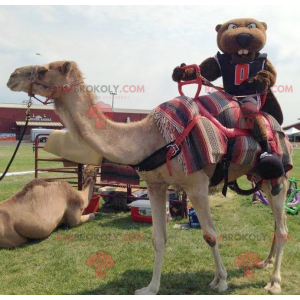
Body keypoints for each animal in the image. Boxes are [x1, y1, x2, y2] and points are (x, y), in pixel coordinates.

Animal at [5, 60, 290, 292]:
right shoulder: (155, 184)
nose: (12, 76)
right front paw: (150, 288)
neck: (150, 138)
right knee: (275, 222)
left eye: (44, 70)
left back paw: (274, 282)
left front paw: (220, 281)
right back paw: (265, 262)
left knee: (283, 226)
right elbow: (158, 239)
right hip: (258, 177)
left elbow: (210, 234)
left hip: (279, 177)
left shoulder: (196, 184)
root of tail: (281, 130)